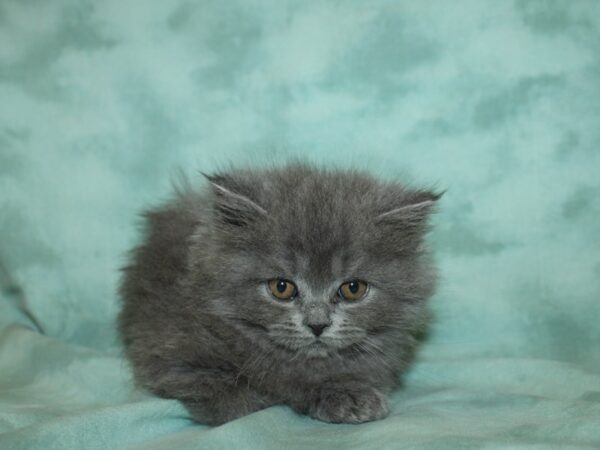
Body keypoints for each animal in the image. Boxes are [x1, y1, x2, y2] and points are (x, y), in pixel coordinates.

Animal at [117, 162, 440, 426]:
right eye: (281, 288)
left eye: (353, 289)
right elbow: (230, 396)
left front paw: (351, 395)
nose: (317, 324)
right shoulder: (166, 353)